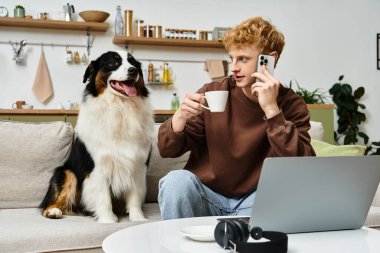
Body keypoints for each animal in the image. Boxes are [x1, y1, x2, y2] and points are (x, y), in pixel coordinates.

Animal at [40, 51, 154, 223]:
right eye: (113, 63)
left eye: (133, 62)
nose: (133, 70)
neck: (120, 107)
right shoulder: (98, 165)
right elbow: (103, 195)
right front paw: (108, 220)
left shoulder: (137, 164)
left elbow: (134, 196)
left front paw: (138, 218)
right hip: (67, 172)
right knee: (50, 203)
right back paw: (53, 211)